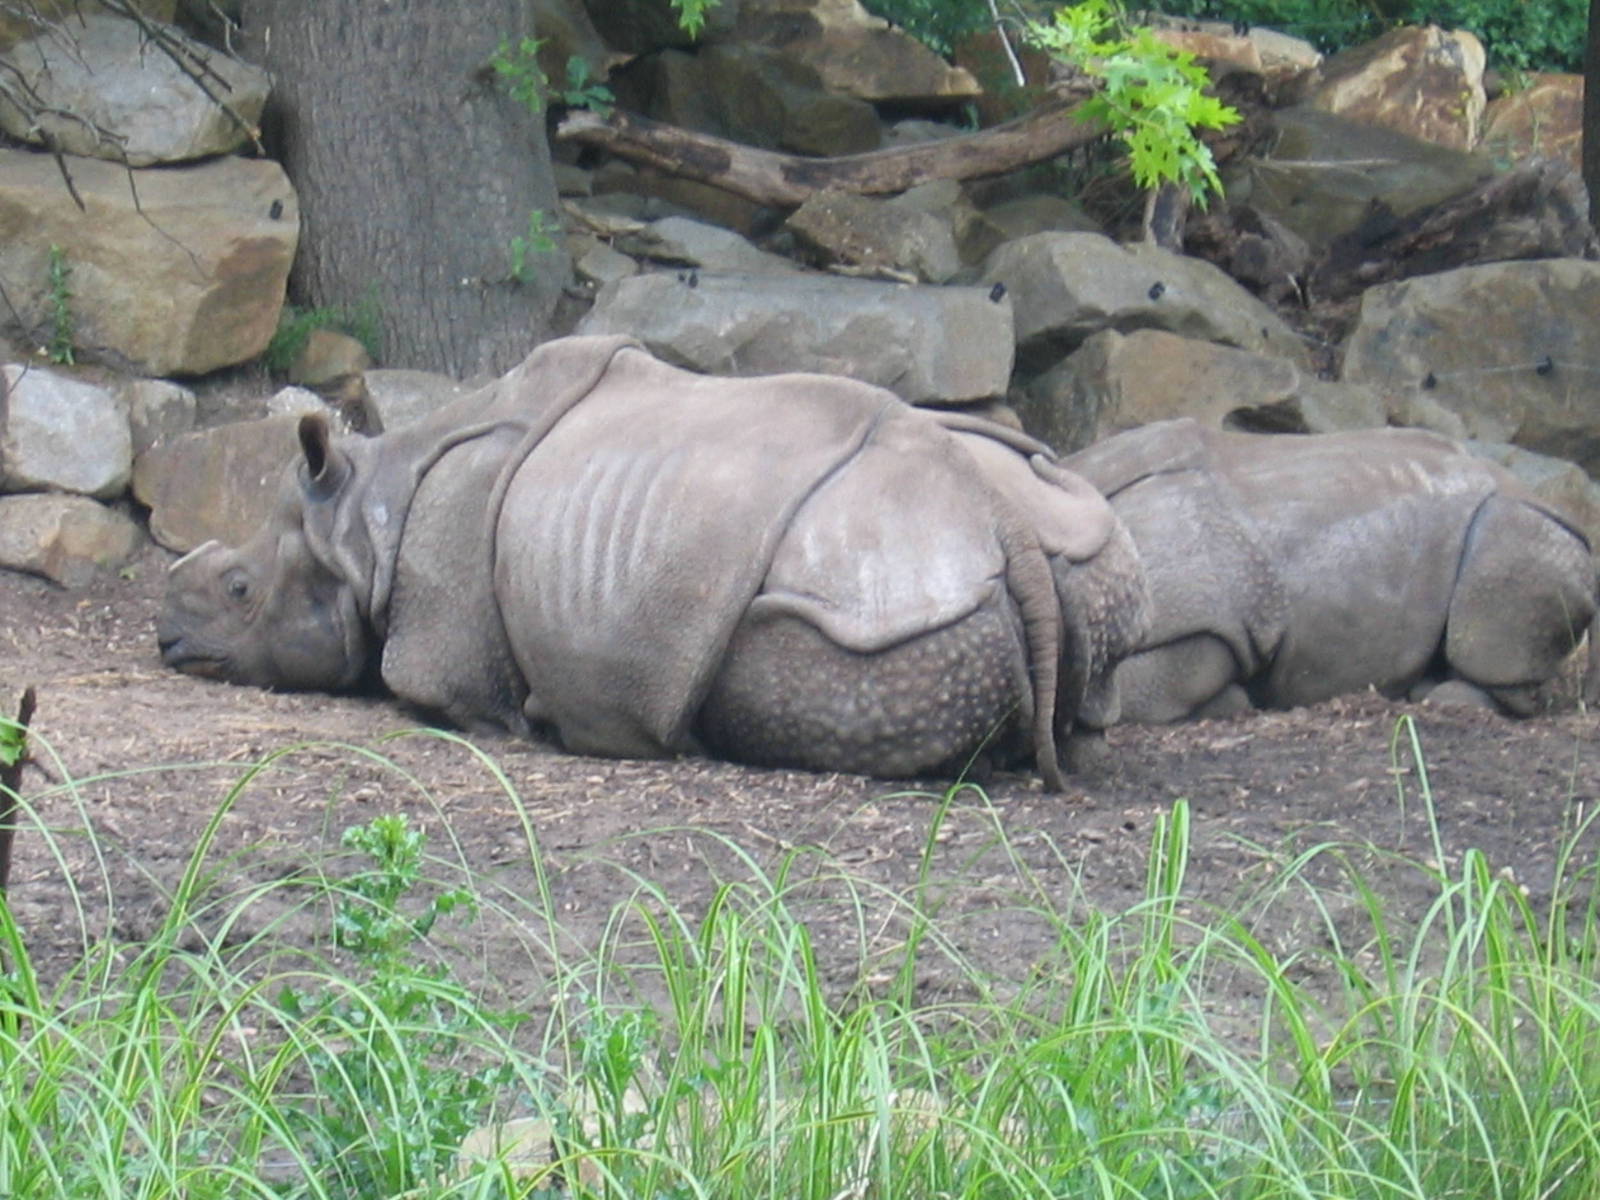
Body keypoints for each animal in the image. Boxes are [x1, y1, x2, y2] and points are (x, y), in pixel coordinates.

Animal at [158, 335, 1147, 787]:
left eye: (240, 590)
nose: (166, 641)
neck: (364, 521)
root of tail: (999, 522)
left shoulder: (443, 630)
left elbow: (446, 695)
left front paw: (529, 719)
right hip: (1075, 535)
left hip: (877, 588)